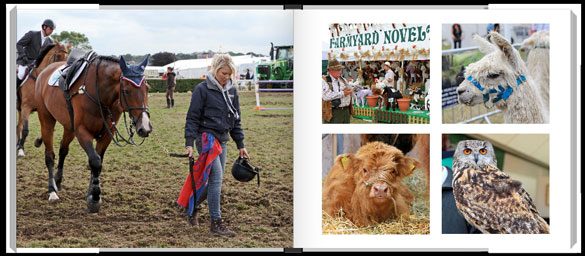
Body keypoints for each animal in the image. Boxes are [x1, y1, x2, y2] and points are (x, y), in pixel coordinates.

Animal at [32, 52, 152, 214]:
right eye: (126, 91)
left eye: (147, 88)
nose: (145, 127)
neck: (100, 94)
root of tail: (44, 72)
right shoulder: (82, 131)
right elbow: (95, 161)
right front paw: (94, 199)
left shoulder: (107, 133)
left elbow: (98, 161)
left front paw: (90, 193)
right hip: (47, 121)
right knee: (50, 156)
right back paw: (52, 190)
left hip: (69, 127)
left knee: (63, 150)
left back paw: (58, 181)